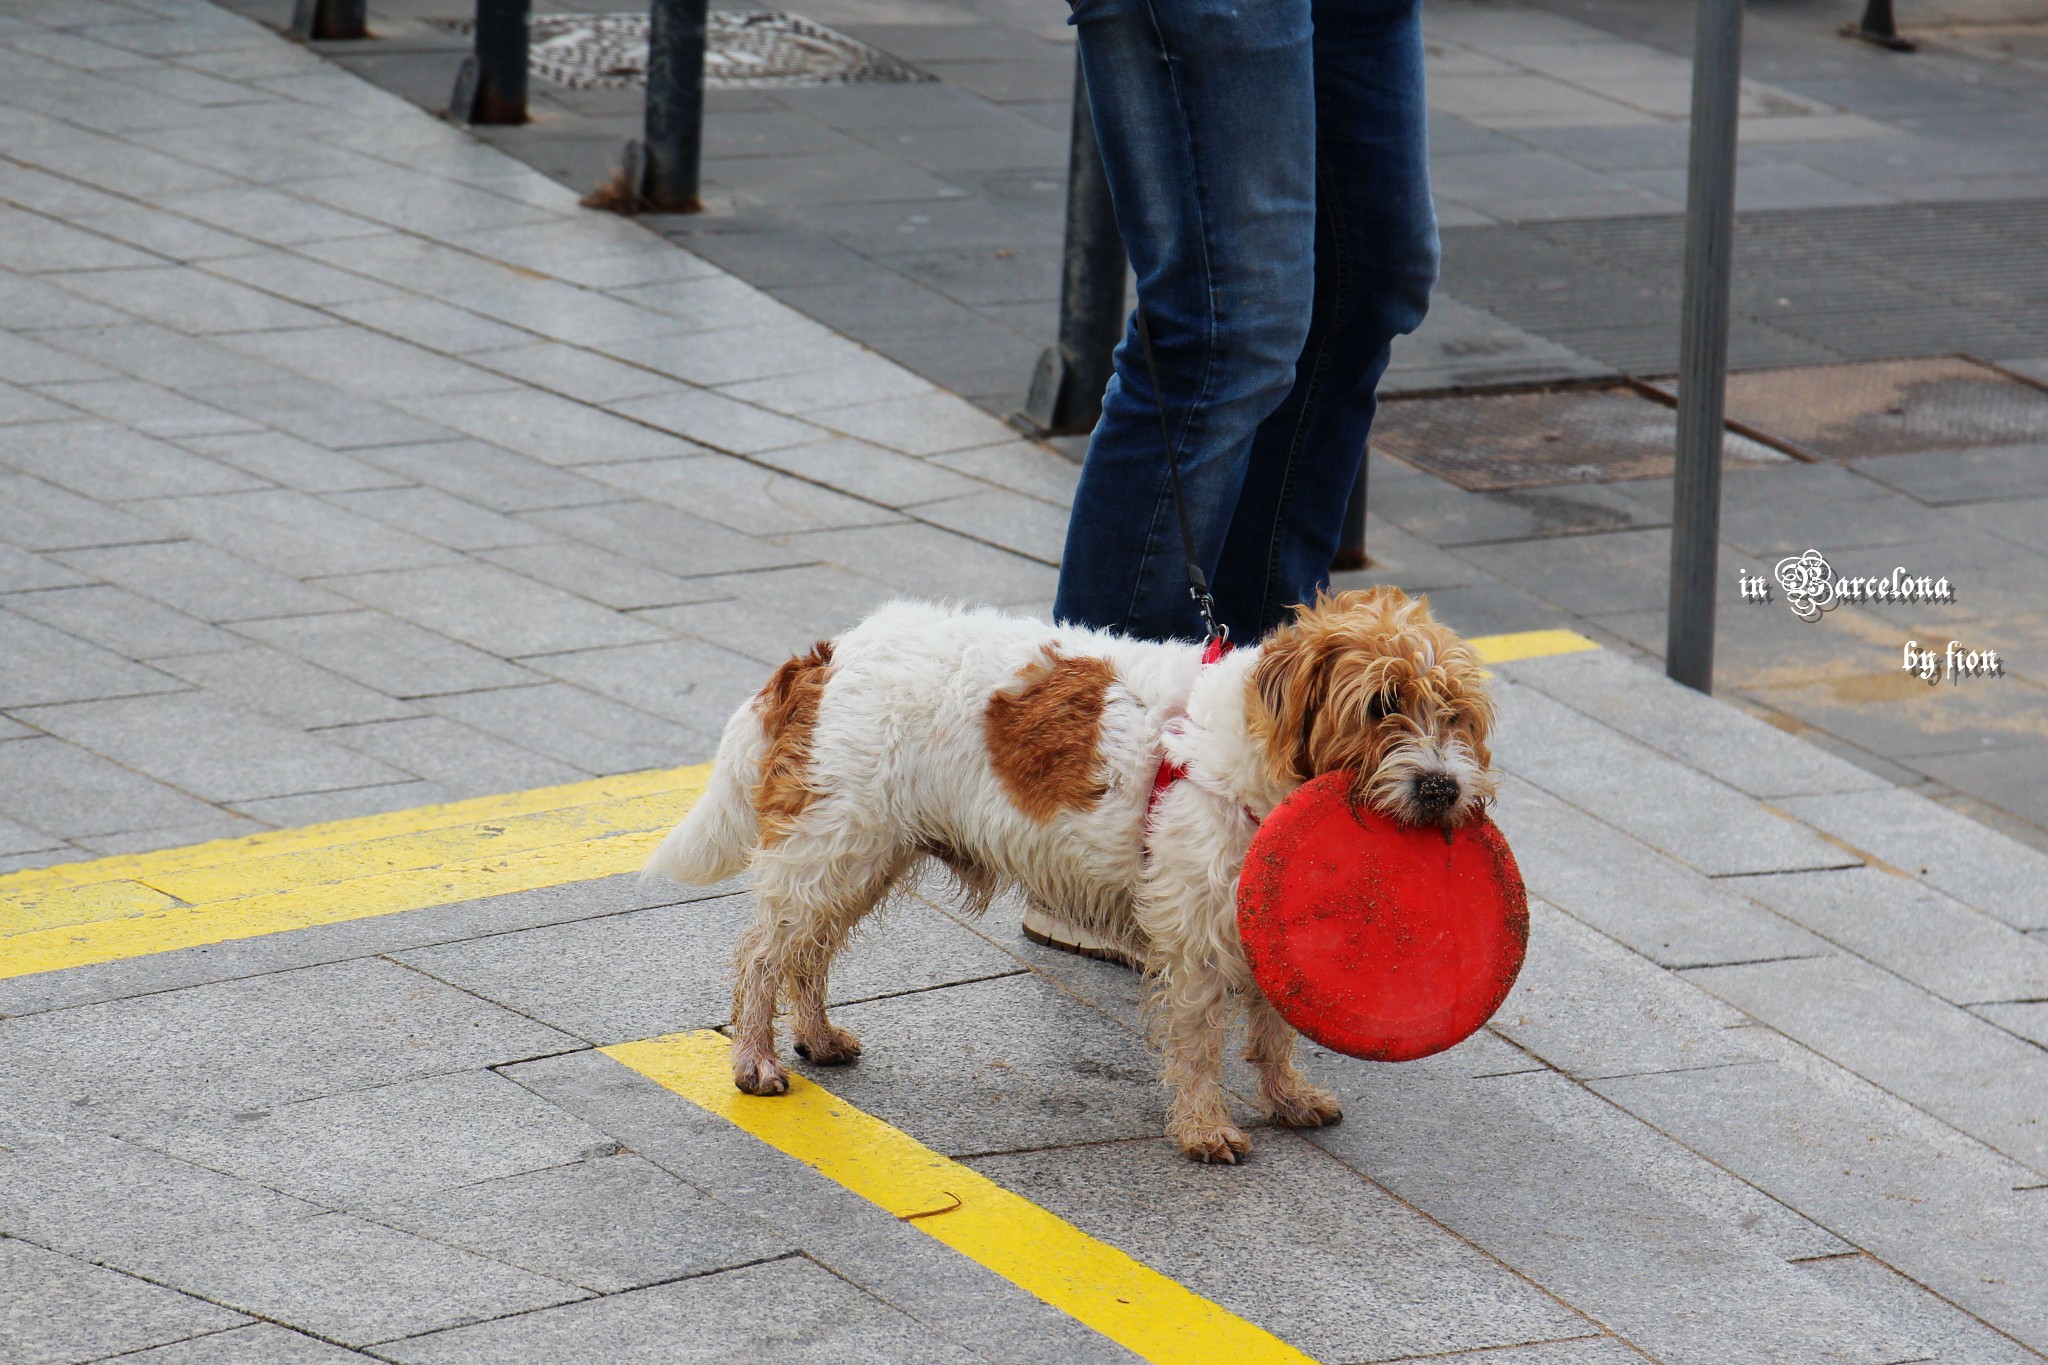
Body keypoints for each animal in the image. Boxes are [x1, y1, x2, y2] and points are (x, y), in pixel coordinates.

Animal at [647, 589, 1499, 1162]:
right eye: (1382, 703)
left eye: (1457, 714)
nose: (1441, 786)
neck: (1255, 753)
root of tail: (826, 654)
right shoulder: (1195, 933)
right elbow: (1199, 1041)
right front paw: (1205, 1126)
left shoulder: (1263, 919)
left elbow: (1273, 1026)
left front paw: (1286, 1095)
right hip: (835, 847)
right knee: (765, 954)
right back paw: (755, 1058)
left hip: (861, 856)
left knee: (810, 953)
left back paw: (818, 1037)